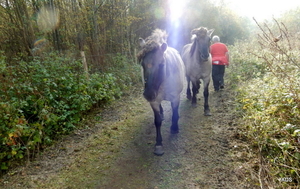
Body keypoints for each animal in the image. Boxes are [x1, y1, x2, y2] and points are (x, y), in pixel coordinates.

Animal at [138, 28, 185, 156]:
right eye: (142, 64)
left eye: (161, 64)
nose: (148, 94)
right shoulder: (154, 102)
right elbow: (157, 121)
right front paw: (158, 144)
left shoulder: (175, 98)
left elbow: (175, 114)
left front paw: (174, 128)